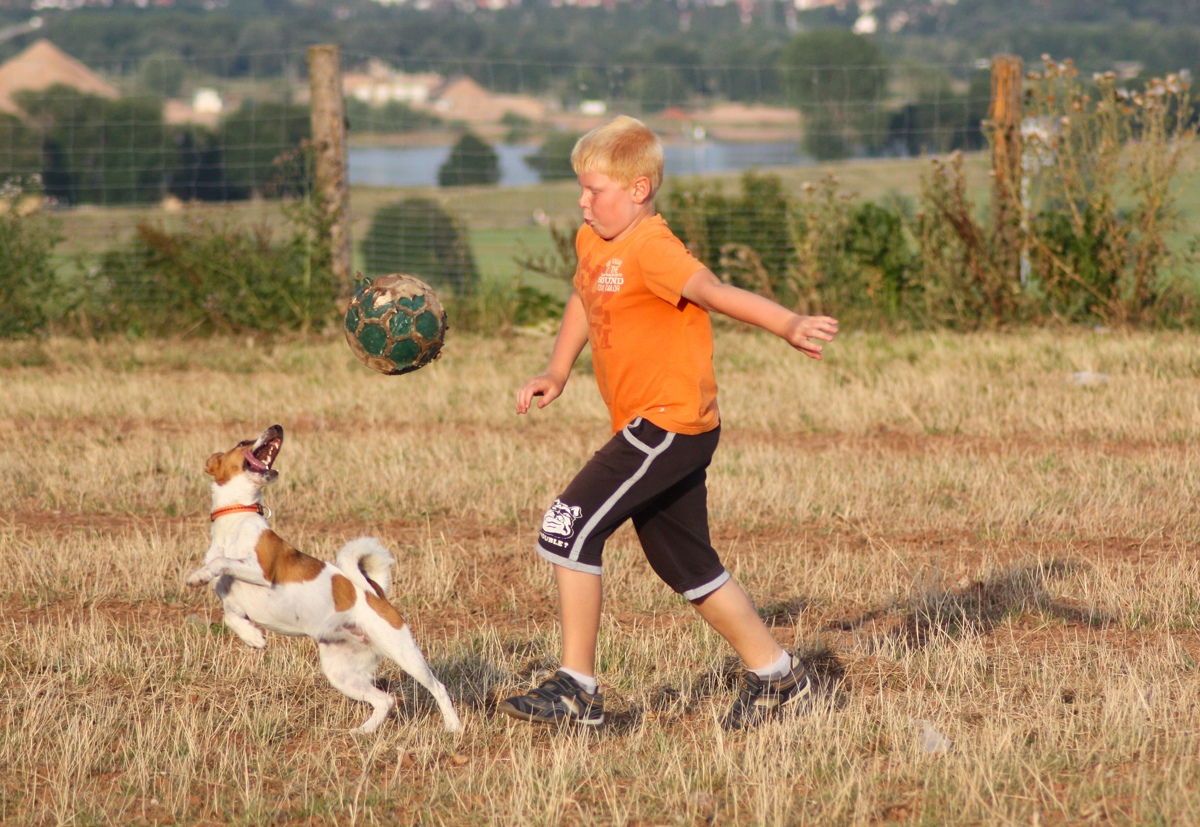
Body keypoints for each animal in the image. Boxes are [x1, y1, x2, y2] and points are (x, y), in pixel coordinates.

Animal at [184, 422, 460, 734]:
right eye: (243, 441)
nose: (276, 426)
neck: (235, 517)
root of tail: (376, 591)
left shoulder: (263, 571)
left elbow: (222, 562)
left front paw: (200, 574)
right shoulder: (233, 604)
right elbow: (231, 617)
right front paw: (254, 637)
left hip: (403, 652)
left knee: (438, 687)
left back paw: (454, 727)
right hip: (340, 673)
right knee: (385, 700)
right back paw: (363, 732)